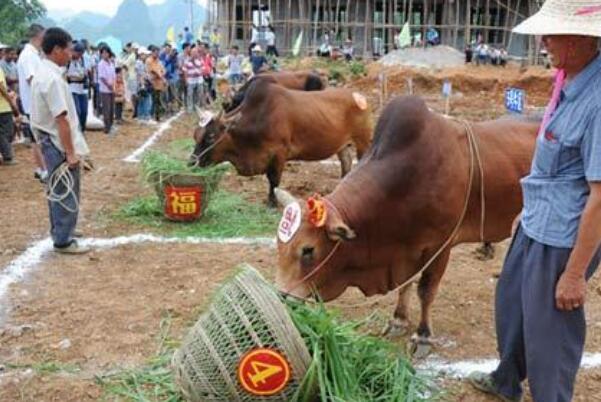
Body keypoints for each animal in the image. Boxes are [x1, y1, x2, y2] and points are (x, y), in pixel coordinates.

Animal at [190, 77, 372, 206]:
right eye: (195, 134)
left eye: (211, 136)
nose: (191, 162)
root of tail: (358, 96)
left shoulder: (279, 153)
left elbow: (274, 180)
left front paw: (272, 202)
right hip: (342, 145)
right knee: (346, 163)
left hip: (362, 140)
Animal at [274, 96, 536, 354]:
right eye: (279, 246)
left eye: (308, 250)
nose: (281, 297)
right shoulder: (406, 249)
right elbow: (405, 284)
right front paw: (398, 320)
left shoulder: (440, 246)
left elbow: (426, 291)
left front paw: (422, 336)